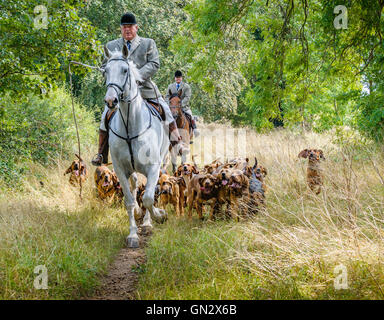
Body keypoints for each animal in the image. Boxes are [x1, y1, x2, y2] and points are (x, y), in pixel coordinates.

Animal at [103, 44, 167, 248]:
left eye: (125, 70)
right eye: (105, 71)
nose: (111, 101)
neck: (131, 125)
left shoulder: (153, 167)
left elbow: (148, 197)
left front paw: (157, 217)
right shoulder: (120, 169)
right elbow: (130, 201)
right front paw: (132, 235)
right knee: (135, 183)